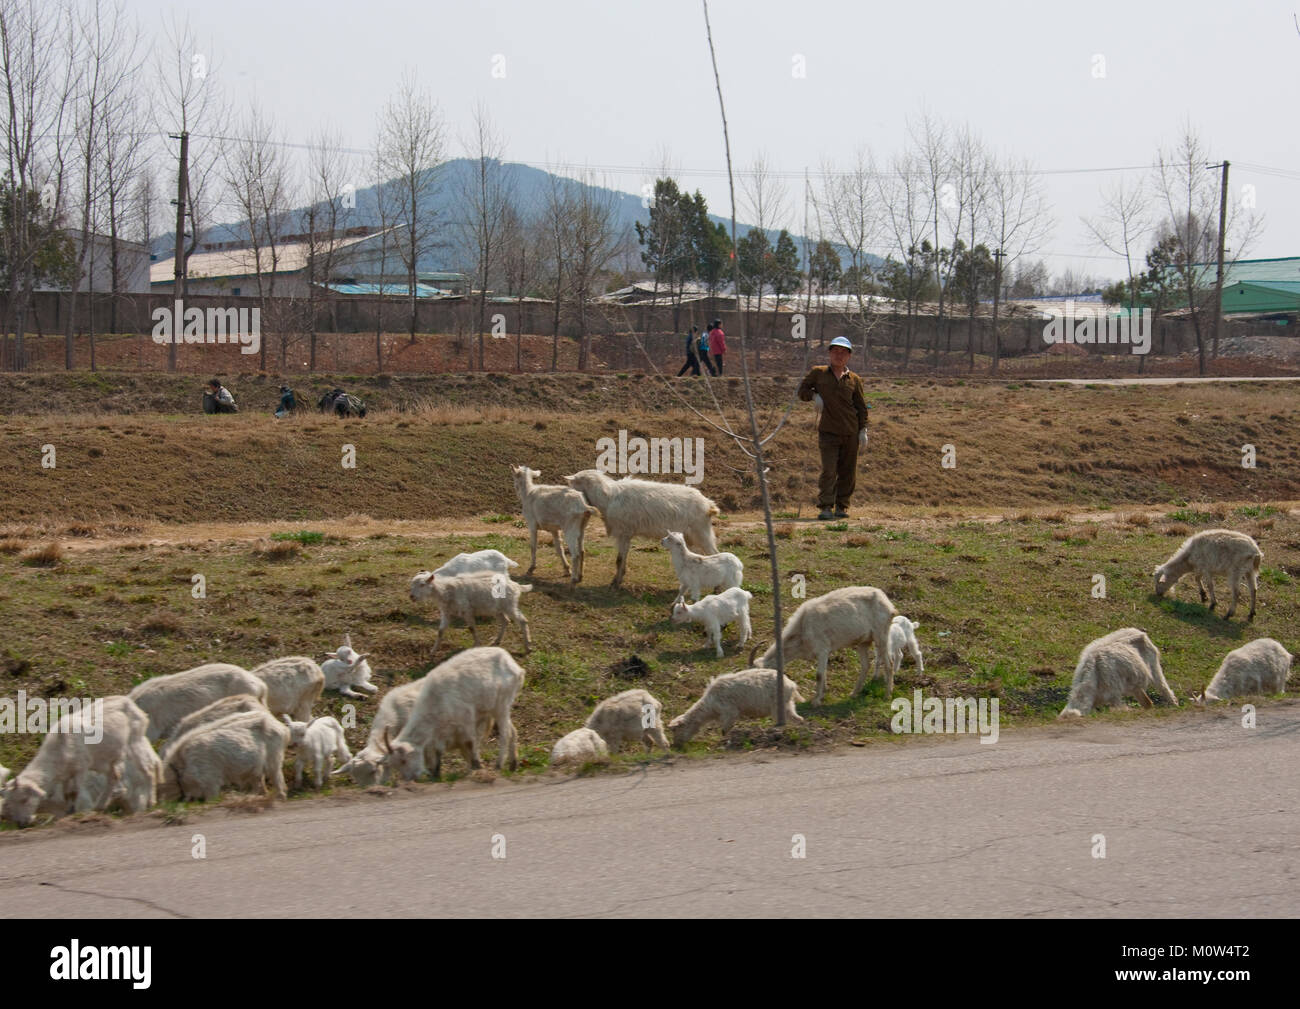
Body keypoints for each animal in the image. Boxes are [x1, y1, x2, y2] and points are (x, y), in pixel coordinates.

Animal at [159, 707, 289, 800]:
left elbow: (211, 797)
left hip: (274, 757)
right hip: (257, 766)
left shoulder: (210, 779)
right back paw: (256, 795)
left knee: (276, 776)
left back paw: (280, 796)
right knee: (258, 780)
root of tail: (281, 726)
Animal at [561, 470, 722, 590]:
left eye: (572, 483)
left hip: (701, 532)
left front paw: (615, 583)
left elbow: (619, 559)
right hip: (693, 536)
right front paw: (619, 578)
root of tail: (708, 504)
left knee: (715, 553)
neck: (608, 498)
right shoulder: (627, 534)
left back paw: (717, 588)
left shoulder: (624, 533)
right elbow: (623, 558)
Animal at [670, 665, 800, 743]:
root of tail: (791, 684)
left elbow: (725, 729)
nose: (675, 746)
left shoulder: (730, 712)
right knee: (797, 718)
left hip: (778, 706)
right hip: (788, 704)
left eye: (676, 730)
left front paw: (724, 739)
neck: (710, 707)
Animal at [759, 587, 899, 707]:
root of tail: (888, 603)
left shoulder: (823, 650)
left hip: (881, 636)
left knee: (889, 664)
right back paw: (853, 694)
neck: (803, 627)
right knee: (866, 665)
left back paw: (887, 695)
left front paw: (815, 701)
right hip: (863, 642)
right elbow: (824, 672)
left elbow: (819, 675)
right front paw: (822, 695)